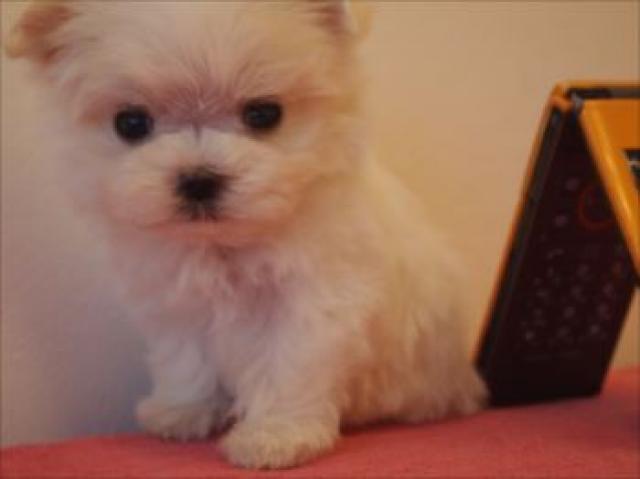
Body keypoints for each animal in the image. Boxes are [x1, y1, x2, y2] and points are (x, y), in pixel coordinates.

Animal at [5, 1, 487, 469]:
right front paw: (184, 410)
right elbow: (186, 358)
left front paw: (276, 437)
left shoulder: (314, 302)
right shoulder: (178, 306)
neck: (224, 245)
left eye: (264, 114)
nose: (198, 179)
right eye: (131, 123)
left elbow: (289, 367)